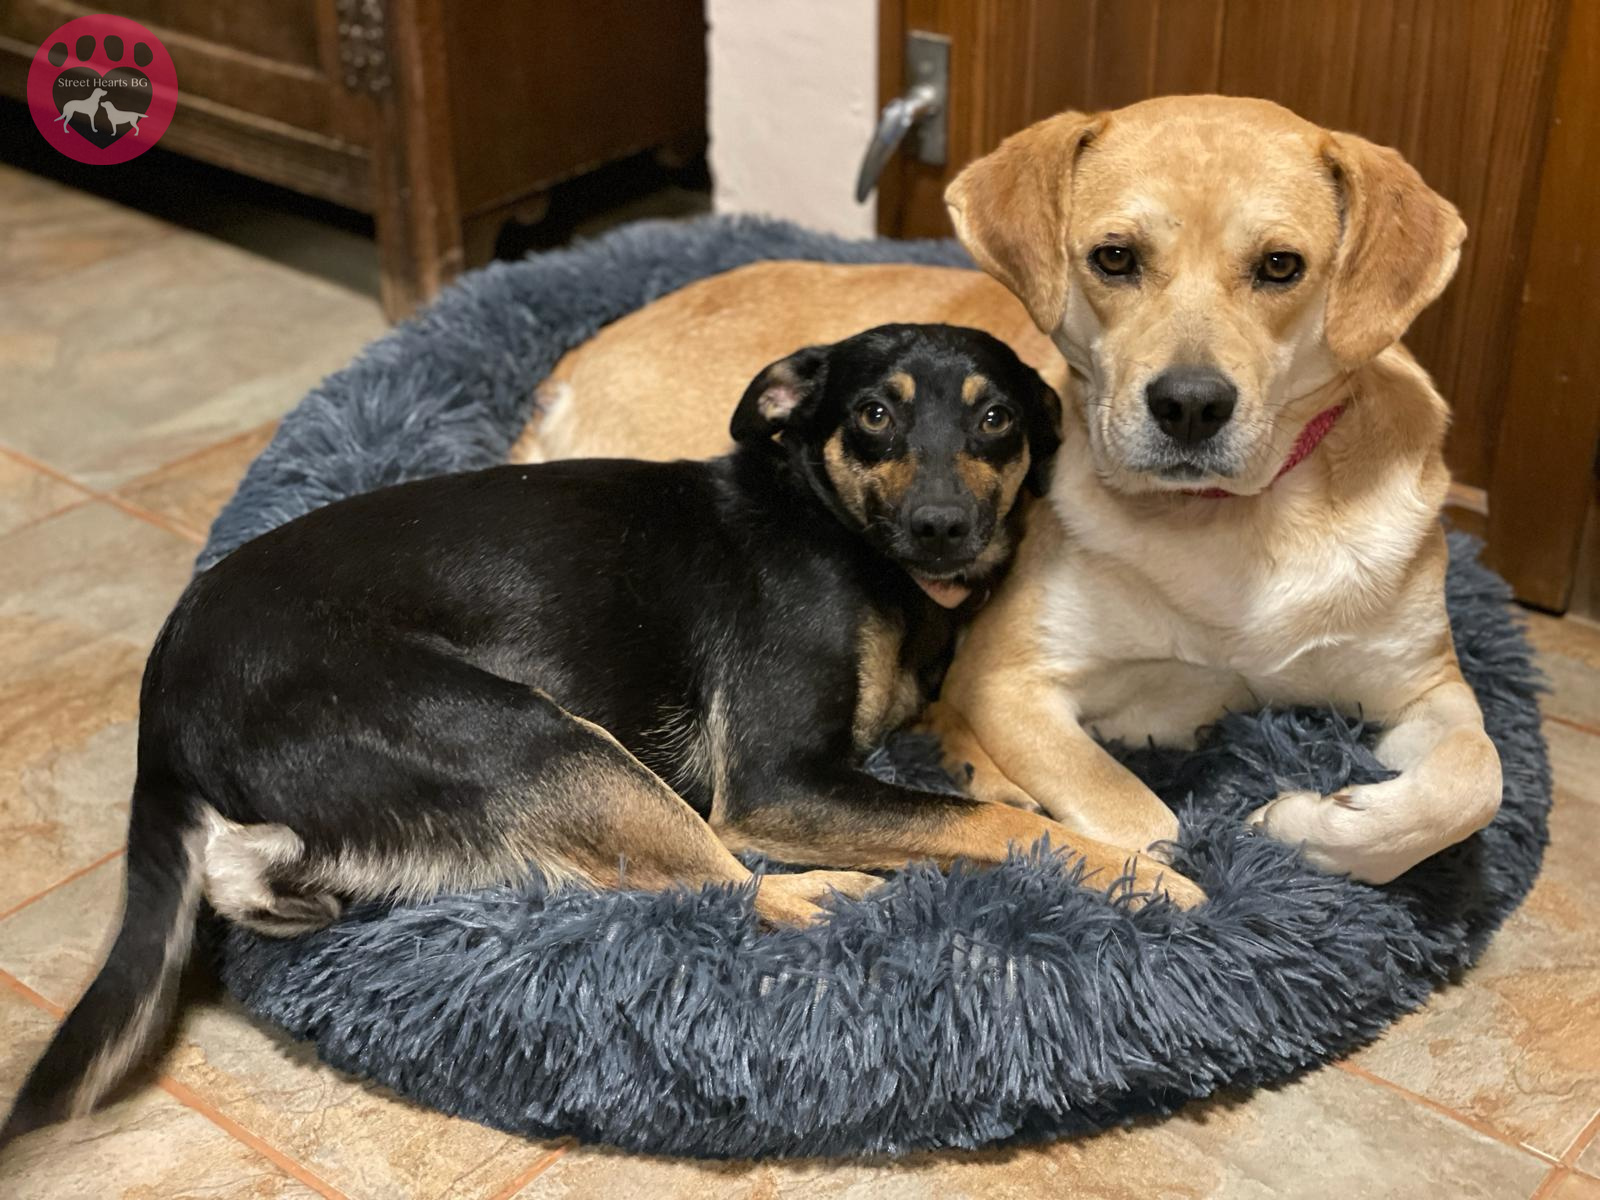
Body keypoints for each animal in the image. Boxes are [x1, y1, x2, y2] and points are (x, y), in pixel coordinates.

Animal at [0, 324, 1203, 1152]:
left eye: (998, 419)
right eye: (872, 415)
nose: (946, 529)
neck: (837, 526)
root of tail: (163, 699)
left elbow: (966, 749)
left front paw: (1034, 779)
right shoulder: (780, 783)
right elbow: (981, 820)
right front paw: (1138, 875)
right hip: (540, 738)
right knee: (702, 881)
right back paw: (831, 900)